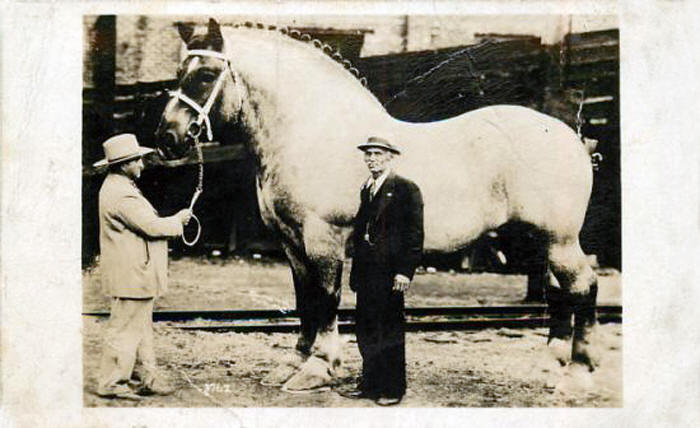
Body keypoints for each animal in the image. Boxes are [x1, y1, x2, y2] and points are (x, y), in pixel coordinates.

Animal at [156, 20, 600, 392]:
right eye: (178, 74)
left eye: (206, 75)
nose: (168, 137)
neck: (312, 131)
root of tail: (571, 137)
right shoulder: (291, 242)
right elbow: (305, 300)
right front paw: (294, 363)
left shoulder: (323, 238)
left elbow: (326, 299)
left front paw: (319, 367)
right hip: (535, 240)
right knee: (559, 291)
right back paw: (551, 365)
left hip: (558, 239)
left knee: (583, 285)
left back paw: (579, 370)